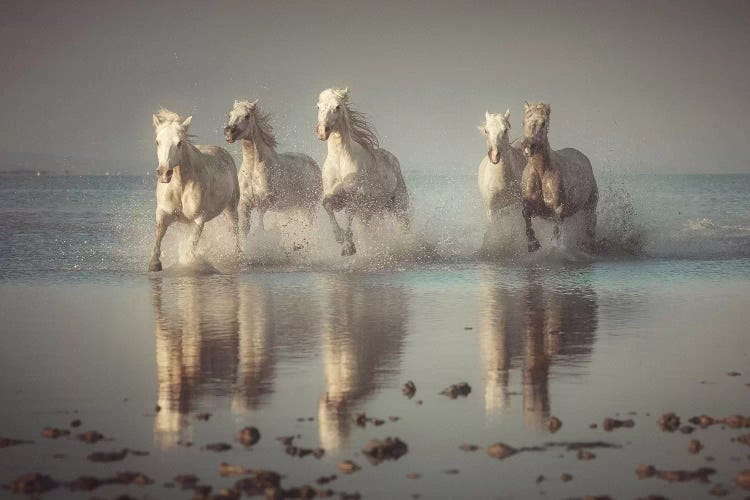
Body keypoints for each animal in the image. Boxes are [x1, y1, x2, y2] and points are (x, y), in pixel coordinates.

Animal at [147, 110, 241, 274]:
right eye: (157, 142)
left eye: (179, 143)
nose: (164, 173)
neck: (180, 186)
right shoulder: (163, 213)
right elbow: (159, 235)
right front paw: (154, 264)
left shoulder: (198, 219)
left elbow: (190, 247)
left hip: (231, 209)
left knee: (235, 232)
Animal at [226, 101, 326, 236]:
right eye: (230, 115)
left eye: (247, 116)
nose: (229, 132)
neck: (253, 170)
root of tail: (313, 163)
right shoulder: (244, 205)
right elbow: (244, 229)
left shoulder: (263, 204)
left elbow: (260, 227)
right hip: (295, 207)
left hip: (309, 206)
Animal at [524, 101, 600, 252]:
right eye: (524, 121)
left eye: (543, 123)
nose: (528, 146)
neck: (542, 173)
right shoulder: (533, 207)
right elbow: (525, 214)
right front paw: (533, 244)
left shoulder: (558, 209)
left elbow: (557, 232)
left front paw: (555, 248)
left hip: (590, 205)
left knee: (590, 226)